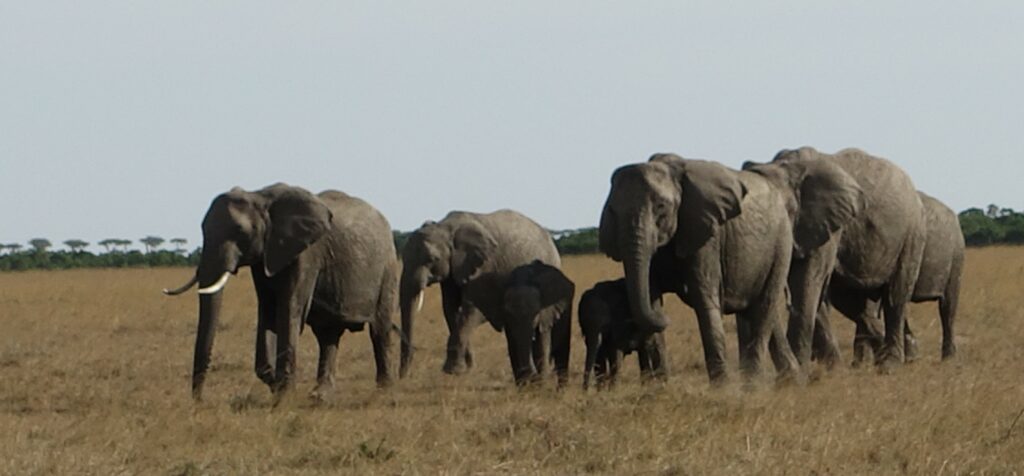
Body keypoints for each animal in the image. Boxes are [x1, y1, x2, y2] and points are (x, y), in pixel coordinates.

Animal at [162, 183, 395, 399]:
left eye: (240, 231)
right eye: (202, 229)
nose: (199, 401)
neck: (260, 197)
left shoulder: (307, 254)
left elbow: (289, 310)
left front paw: (284, 396)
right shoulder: (264, 256)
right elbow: (269, 311)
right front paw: (275, 383)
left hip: (387, 266)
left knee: (379, 331)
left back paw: (383, 392)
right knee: (327, 334)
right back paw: (320, 396)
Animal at [397, 207, 561, 382]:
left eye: (432, 259)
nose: (403, 377)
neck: (446, 228)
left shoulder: (484, 266)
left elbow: (472, 310)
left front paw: (453, 371)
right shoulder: (453, 272)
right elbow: (450, 310)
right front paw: (466, 369)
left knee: (541, 330)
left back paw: (540, 380)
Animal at [593, 153, 806, 384]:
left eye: (661, 207)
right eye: (612, 211)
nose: (667, 319)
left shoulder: (706, 234)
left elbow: (704, 297)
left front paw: (721, 388)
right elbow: (650, 296)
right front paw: (659, 388)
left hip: (781, 243)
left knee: (764, 305)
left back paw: (754, 384)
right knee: (757, 308)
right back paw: (789, 379)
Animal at [741, 146, 933, 368]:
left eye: (787, 210)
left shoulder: (826, 225)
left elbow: (806, 283)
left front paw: (805, 368)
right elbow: (813, 291)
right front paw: (831, 368)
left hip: (912, 233)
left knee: (895, 296)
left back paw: (890, 364)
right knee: (853, 304)